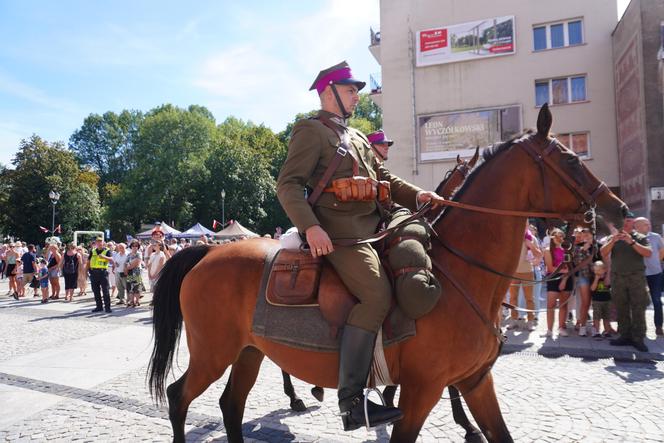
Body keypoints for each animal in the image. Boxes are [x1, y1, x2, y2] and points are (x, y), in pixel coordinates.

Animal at [148, 106, 624, 442]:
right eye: (570, 159)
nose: (617, 209)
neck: (460, 278)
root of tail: (205, 255)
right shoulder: (423, 390)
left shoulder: (476, 381)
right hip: (213, 353)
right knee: (178, 398)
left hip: (248, 351)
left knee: (230, 406)